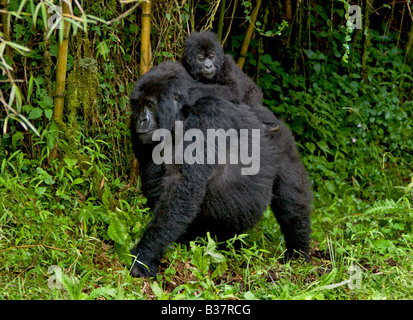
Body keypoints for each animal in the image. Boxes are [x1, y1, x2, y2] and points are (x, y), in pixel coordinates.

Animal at [129, 61, 312, 276]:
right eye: (138, 105)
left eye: (149, 104)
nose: (140, 120)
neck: (182, 116)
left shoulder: (208, 116)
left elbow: (184, 186)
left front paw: (145, 255)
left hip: (283, 142)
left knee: (292, 201)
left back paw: (298, 253)